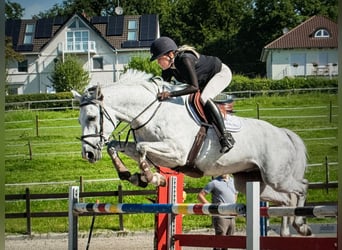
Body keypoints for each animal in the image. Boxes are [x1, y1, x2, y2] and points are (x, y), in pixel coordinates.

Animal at [73, 70, 312, 236]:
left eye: (92, 117)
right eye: (79, 120)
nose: (88, 155)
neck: (153, 112)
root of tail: (283, 133)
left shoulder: (177, 153)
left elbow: (142, 149)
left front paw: (151, 177)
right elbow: (115, 145)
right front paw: (130, 175)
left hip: (276, 176)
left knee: (301, 187)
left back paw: (301, 224)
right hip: (251, 181)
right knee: (285, 200)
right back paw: (289, 231)